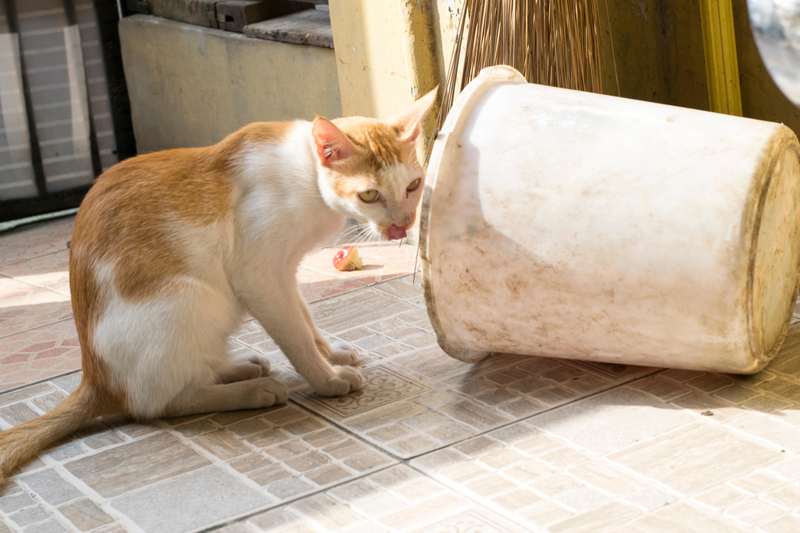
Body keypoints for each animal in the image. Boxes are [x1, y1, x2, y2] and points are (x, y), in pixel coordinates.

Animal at [0, 87, 438, 478]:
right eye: (369, 195)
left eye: (412, 186)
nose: (402, 226)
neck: (307, 176)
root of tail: (95, 379)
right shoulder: (258, 275)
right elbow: (295, 335)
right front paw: (327, 379)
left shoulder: (285, 272)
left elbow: (305, 319)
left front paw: (330, 353)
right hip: (192, 299)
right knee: (157, 404)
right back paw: (250, 391)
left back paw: (240, 366)